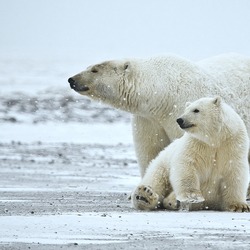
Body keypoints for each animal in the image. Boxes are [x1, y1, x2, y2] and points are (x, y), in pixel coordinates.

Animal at [68, 53, 250, 178]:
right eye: (88, 66)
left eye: (94, 69)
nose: (71, 79)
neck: (163, 95)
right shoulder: (148, 118)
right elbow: (150, 149)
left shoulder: (182, 111)